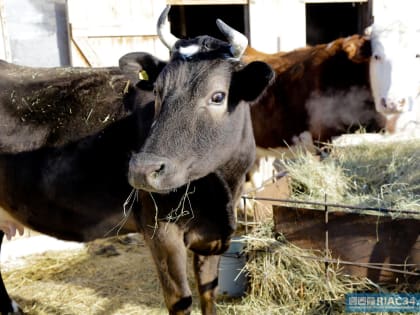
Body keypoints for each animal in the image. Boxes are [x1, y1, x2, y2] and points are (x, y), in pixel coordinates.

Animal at [0, 5, 274, 315]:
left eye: (218, 96)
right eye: (157, 91)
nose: (143, 170)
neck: (222, 191)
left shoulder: (213, 236)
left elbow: (208, 294)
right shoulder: (160, 232)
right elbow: (181, 300)